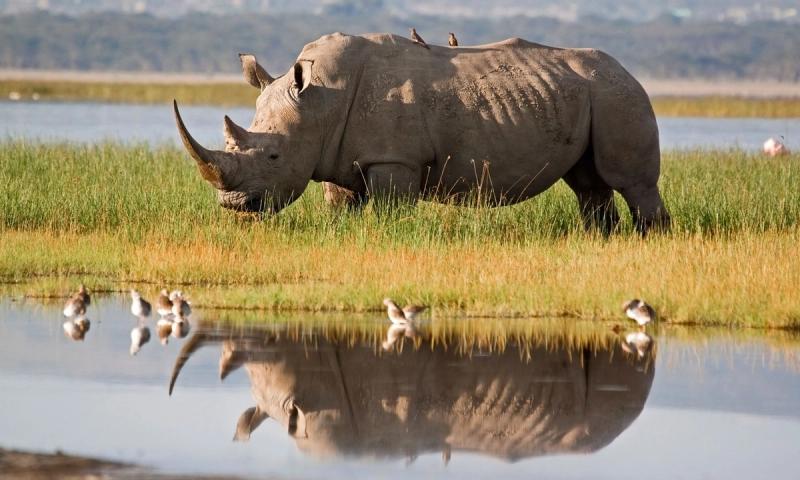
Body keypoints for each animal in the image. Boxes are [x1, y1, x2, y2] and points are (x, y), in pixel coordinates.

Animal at [174, 33, 670, 234]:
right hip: (592, 95)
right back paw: (601, 239)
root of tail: (628, 71)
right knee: (588, 184)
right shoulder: (335, 155)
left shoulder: (395, 159)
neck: (319, 102)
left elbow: (390, 210)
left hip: (618, 95)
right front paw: (341, 234)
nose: (234, 206)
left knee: (632, 182)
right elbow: (341, 206)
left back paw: (650, 239)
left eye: (274, 157)